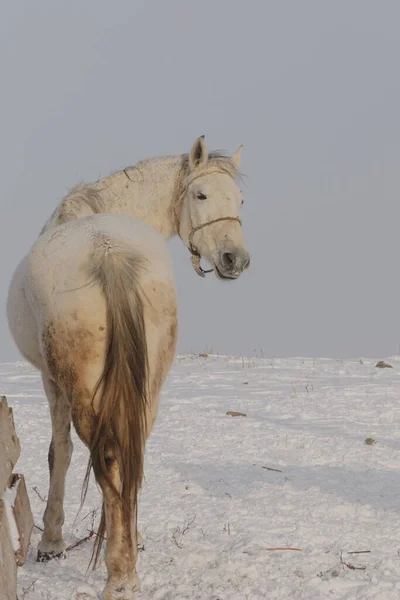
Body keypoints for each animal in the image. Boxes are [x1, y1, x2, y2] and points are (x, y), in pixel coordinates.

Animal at [7, 137, 250, 600]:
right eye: (201, 195)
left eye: (240, 199)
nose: (235, 259)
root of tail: (108, 253)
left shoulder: (52, 382)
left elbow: (59, 453)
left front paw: (51, 542)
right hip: (146, 385)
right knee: (130, 452)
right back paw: (128, 554)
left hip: (82, 390)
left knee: (105, 457)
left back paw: (119, 573)